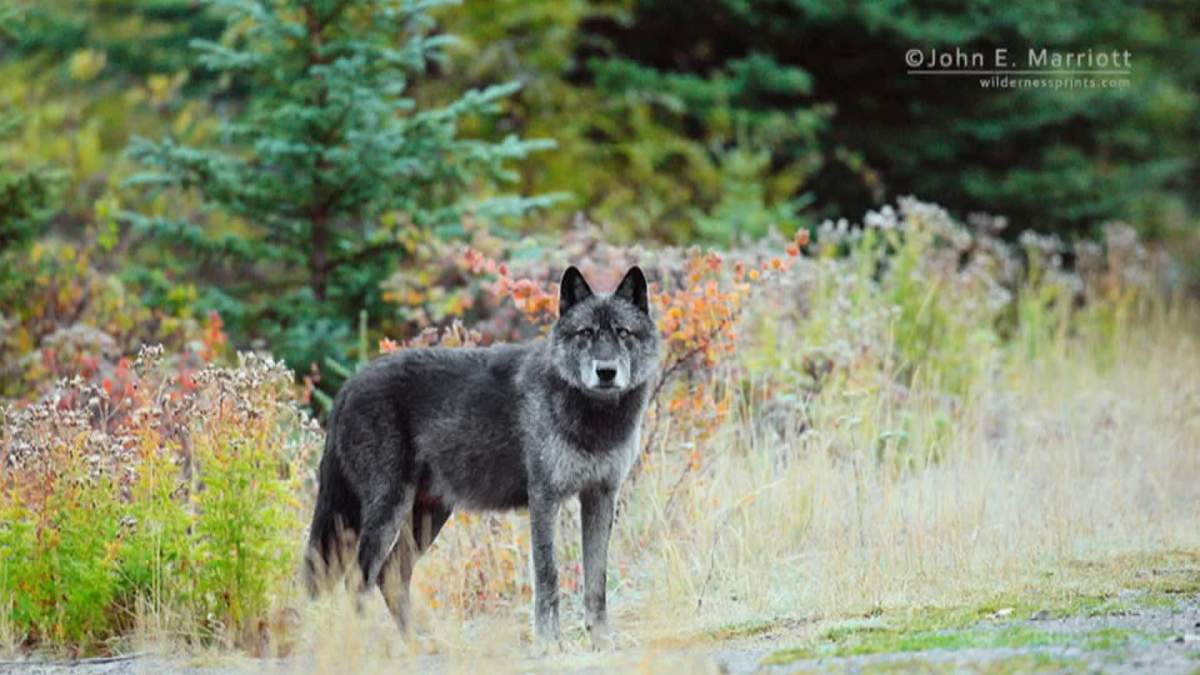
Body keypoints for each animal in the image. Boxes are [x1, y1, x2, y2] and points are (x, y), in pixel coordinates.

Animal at [303, 265, 661, 645]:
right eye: (586, 333)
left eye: (623, 332)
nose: (606, 372)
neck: (594, 417)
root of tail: (348, 385)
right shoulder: (544, 497)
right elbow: (547, 575)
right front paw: (549, 642)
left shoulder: (601, 496)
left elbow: (597, 580)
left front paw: (601, 639)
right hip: (388, 510)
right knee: (358, 579)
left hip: (428, 514)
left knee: (390, 574)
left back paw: (417, 643)